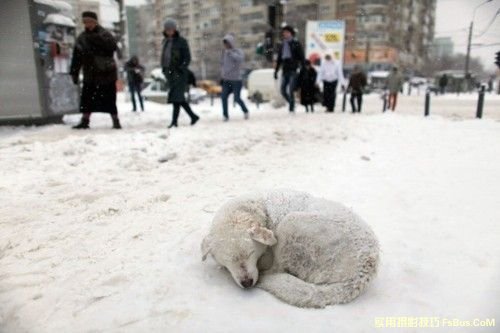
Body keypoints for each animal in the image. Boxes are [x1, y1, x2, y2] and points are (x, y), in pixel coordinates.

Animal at [200, 191, 378, 308]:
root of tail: (363, 271)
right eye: (229, 260)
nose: (247, 283)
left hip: (291, 223)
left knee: (276, 269)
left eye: (250, 253)